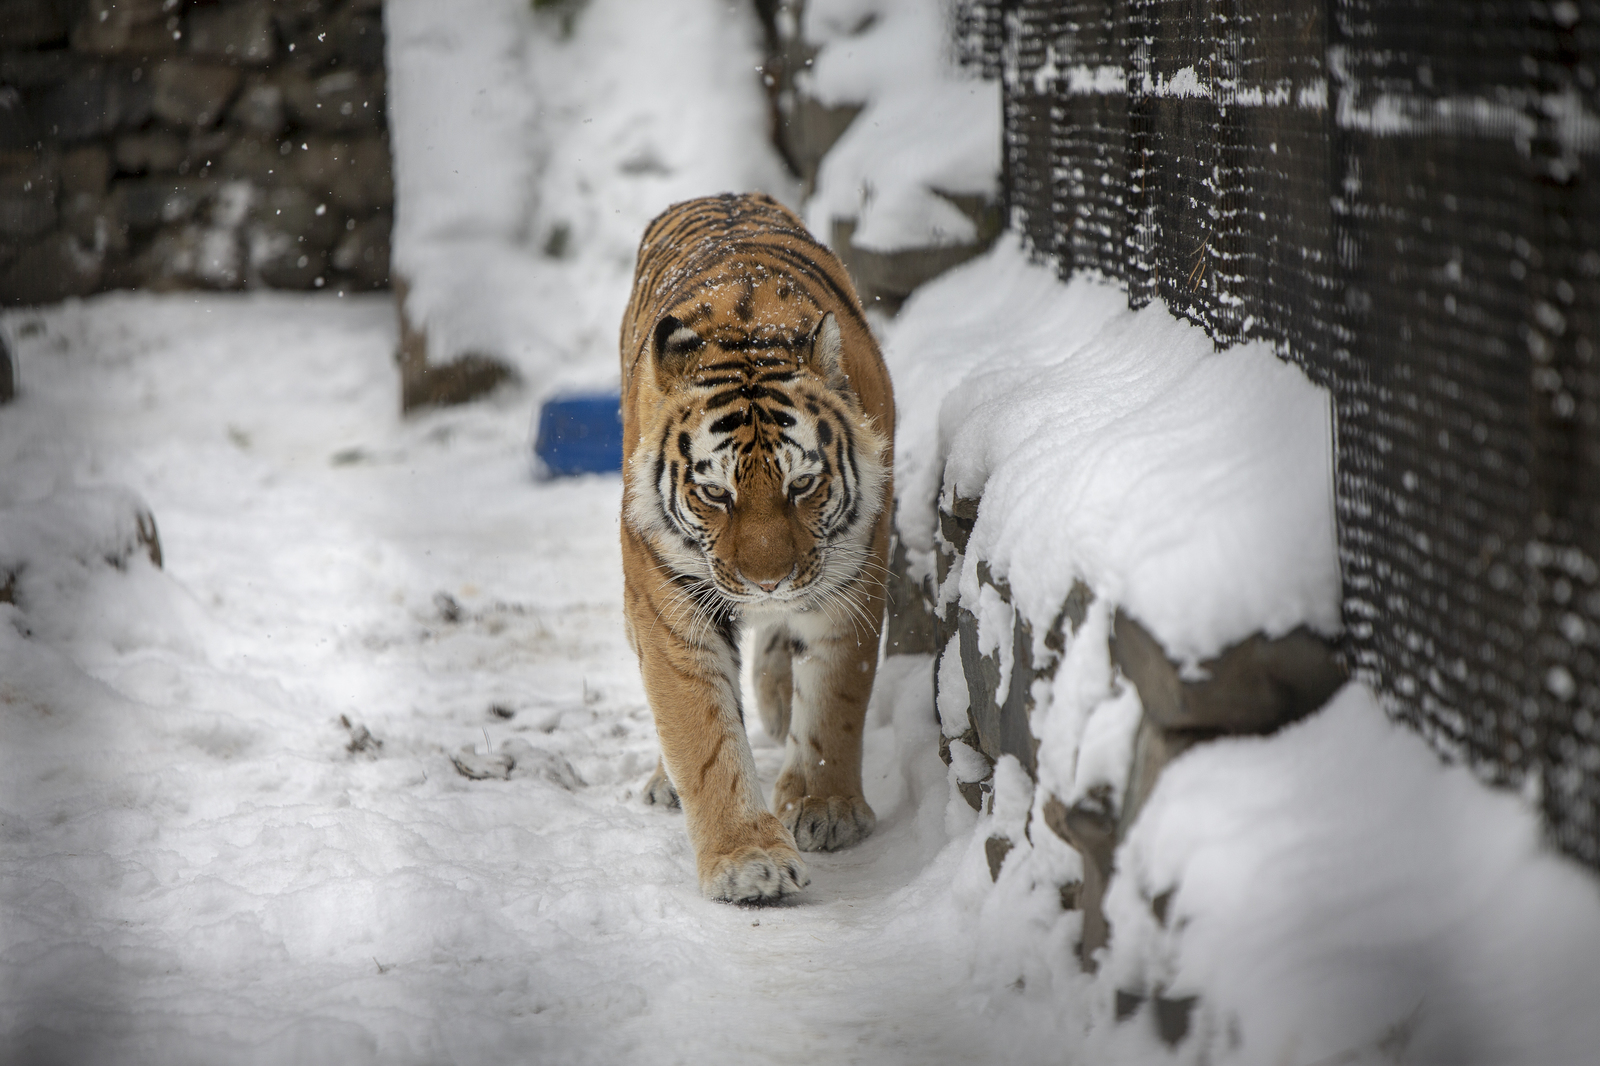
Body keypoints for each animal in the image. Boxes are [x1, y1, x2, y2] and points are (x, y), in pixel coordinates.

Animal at [614, 191, 896, 896]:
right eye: (716, 494)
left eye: (803, 485)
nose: (769, 581)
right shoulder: (668, 601)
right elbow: (704, 736)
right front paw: (748, 861)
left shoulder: (854, 576)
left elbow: (836, 695)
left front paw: (826, 808)